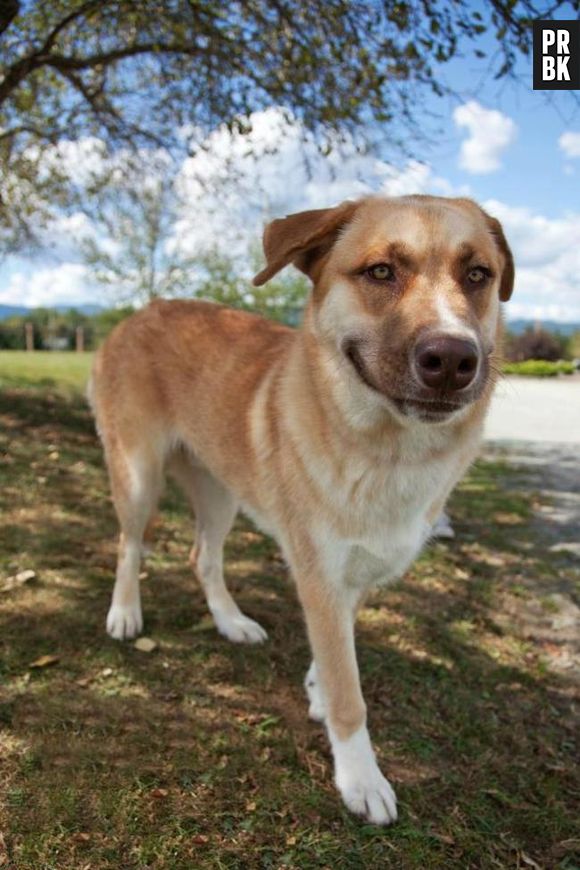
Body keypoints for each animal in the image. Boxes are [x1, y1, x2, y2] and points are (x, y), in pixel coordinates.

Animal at [89, 194, 512, 828]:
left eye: (478, 275)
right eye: (380, 271)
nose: (452, 359)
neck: (387, 453)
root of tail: (144, 311)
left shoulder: (352, 575)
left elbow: (334, 653)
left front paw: (315, 687)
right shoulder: (320, 575)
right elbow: (349, 692)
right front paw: (361, 777)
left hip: (221, 490)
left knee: (201, 557)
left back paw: (231, 621)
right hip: (139, 475)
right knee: (129, 544)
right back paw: (124, 613)